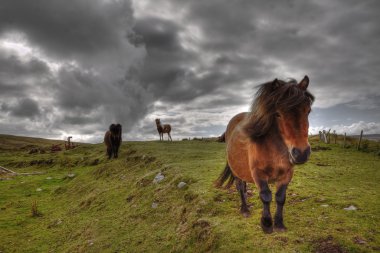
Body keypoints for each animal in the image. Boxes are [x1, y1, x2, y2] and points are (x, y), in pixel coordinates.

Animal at [215, 75, 314, 233]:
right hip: (237, 171)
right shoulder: (258, 173)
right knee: (240, 186)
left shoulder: (287, 174)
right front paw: (267, 224)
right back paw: (245, 209)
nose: (301, 153)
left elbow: (280, 197)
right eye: (277, 114)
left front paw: (279, 224)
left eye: (308, 110)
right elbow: (266, 196)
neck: (275, 149)